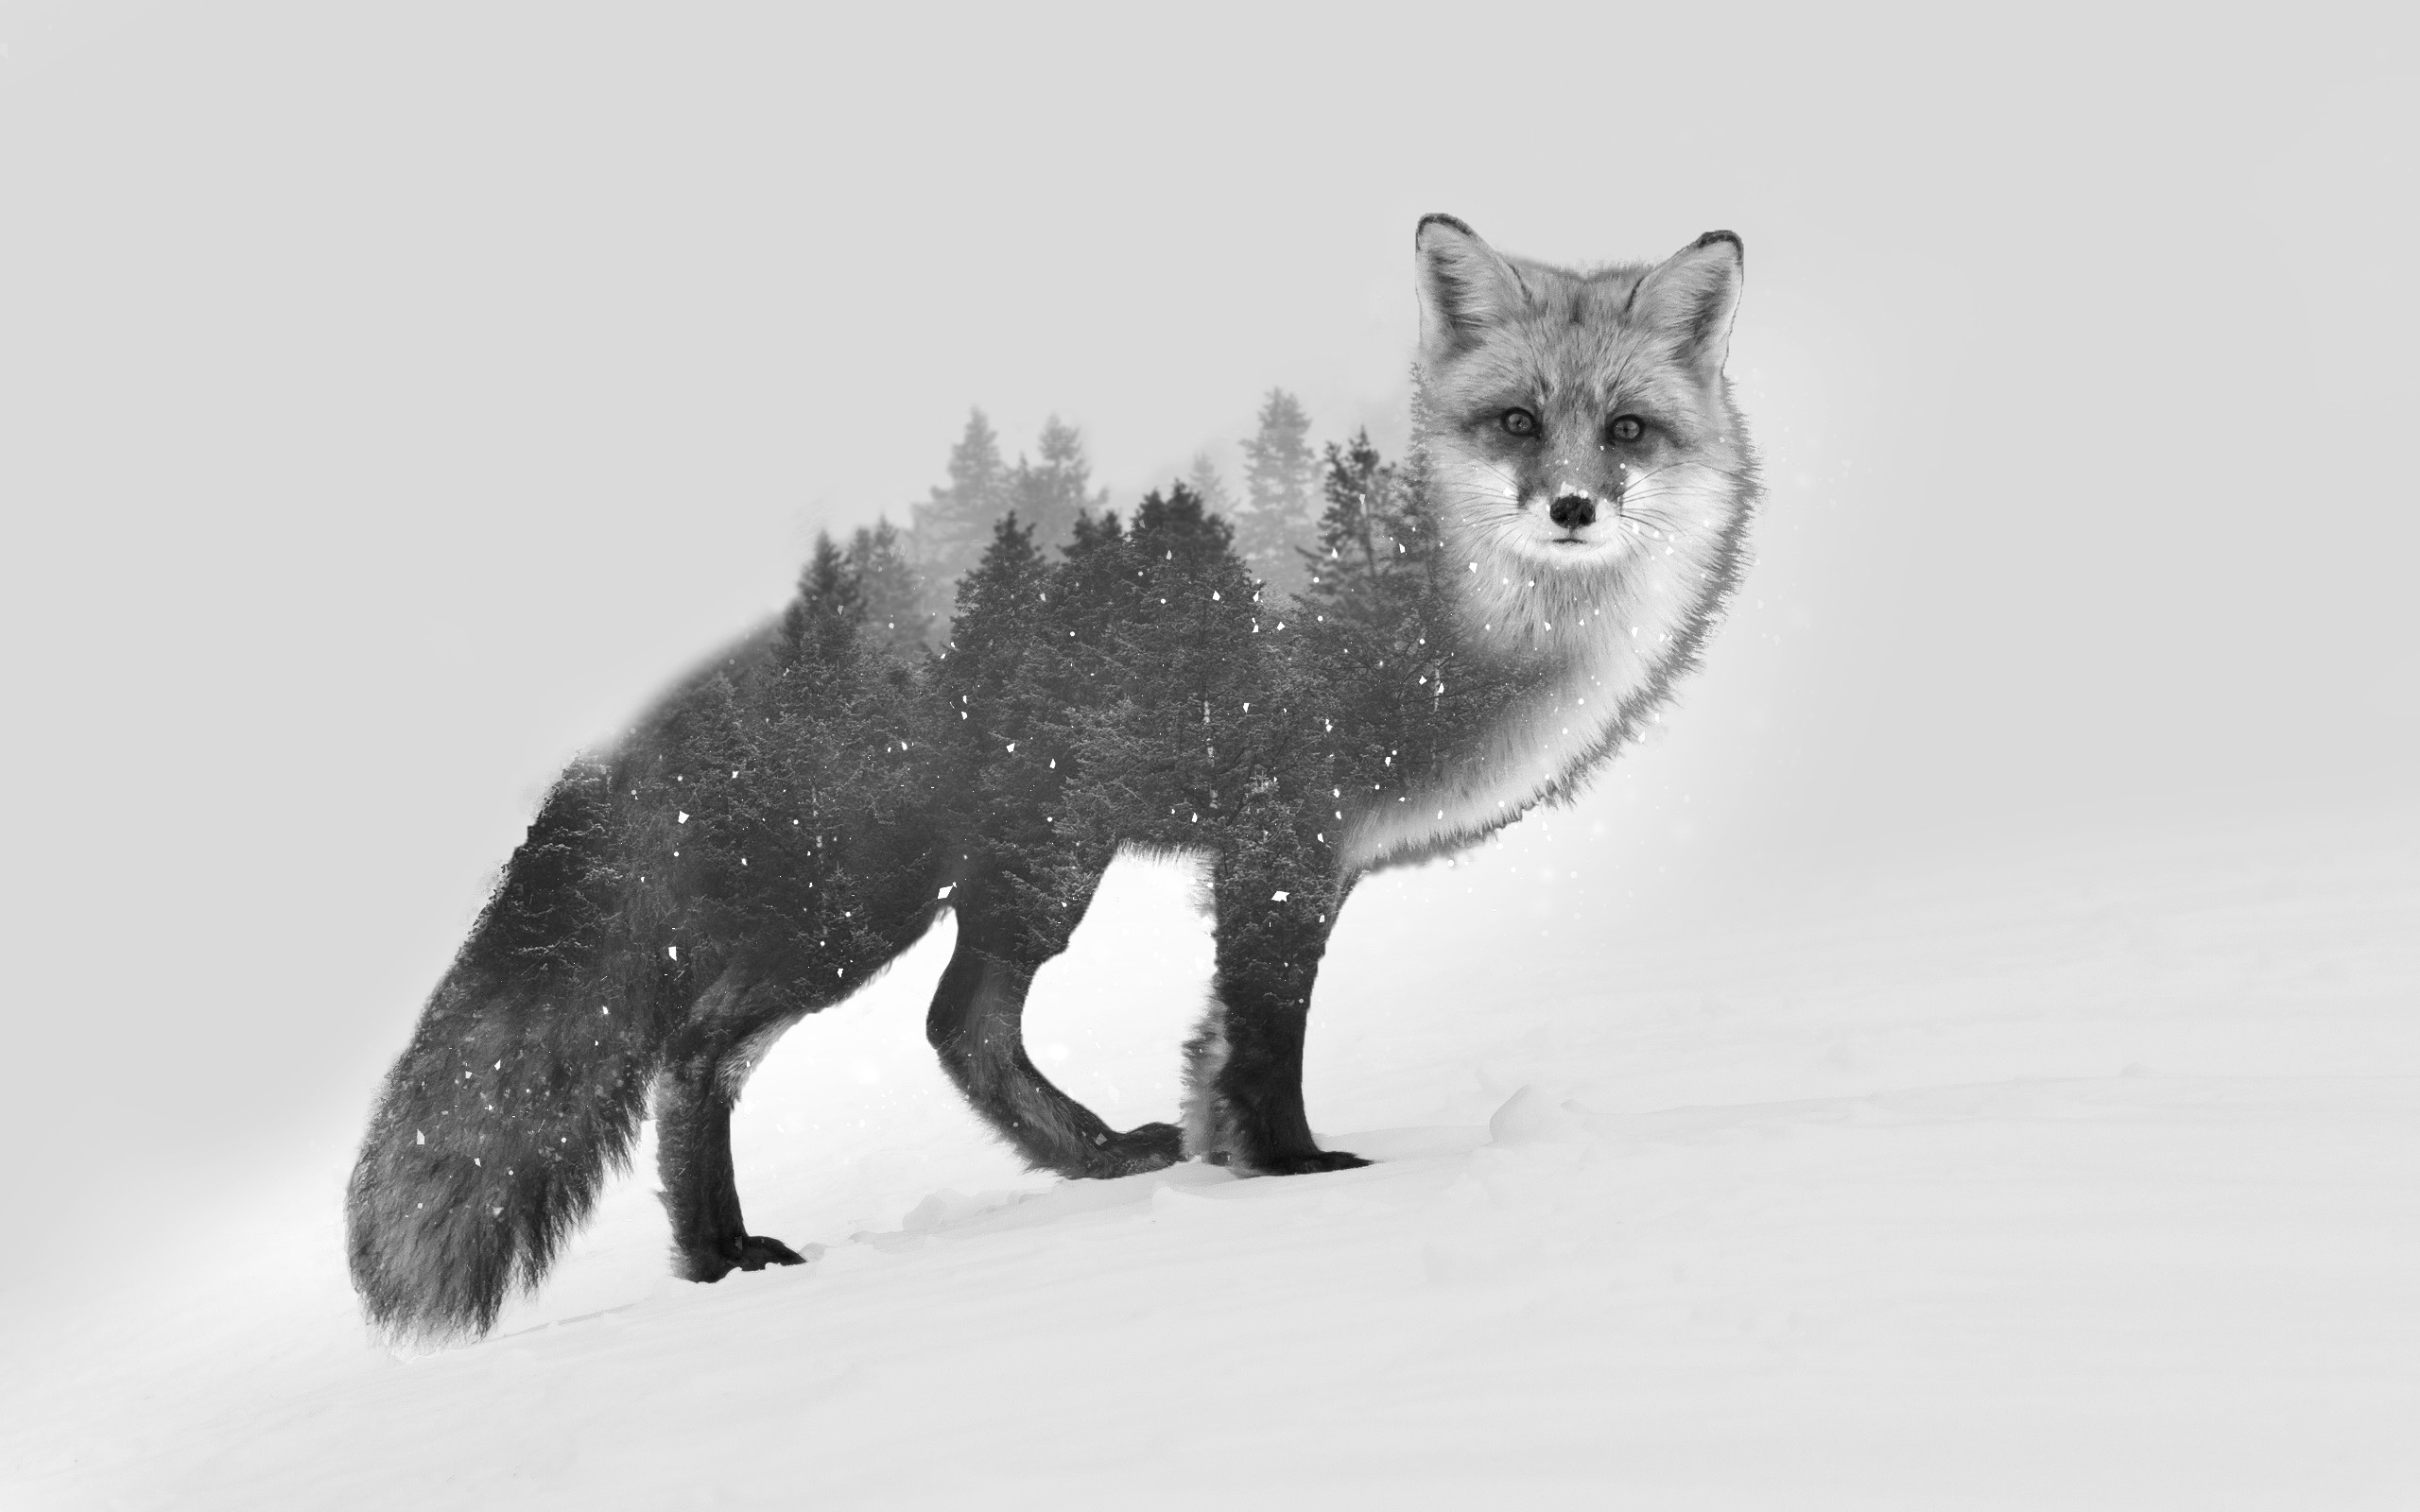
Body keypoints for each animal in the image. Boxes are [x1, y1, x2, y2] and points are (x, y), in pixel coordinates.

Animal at [347, 214, 1759, 1340]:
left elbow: (1212, 1049)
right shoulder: (1283, 835)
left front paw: (1227, 1166)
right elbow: (1267, 1040)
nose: (1572, 507)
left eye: (1627, 431)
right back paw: (720, 1258)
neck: (1448, 609)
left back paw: (1087, 1163)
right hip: (865, 902)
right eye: (1515, 422)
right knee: (704, 1057)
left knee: (955, 1029)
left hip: (1028, 863)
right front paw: (1301, 1181)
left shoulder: (1296, 862)